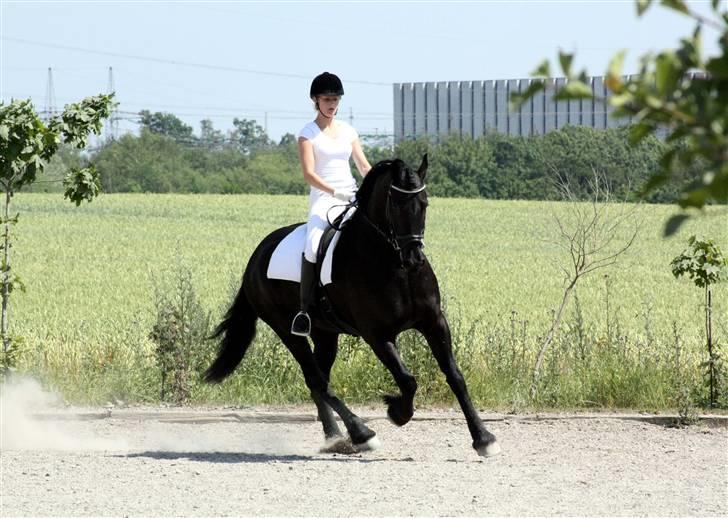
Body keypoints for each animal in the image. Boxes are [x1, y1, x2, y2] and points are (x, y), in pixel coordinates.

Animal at [205, 156, 500, 458]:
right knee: (317, 379)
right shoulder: (377, 335)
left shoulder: (434, 323)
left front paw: (483, 438)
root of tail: (257, 254)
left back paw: (336, 438)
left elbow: (455, 376)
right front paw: (397, 412)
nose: (414, 258)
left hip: (325, 333)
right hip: (286, 330)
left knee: (318, 381)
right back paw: (361, 434)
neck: (393, 265)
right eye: (396, 204)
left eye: (424, 204)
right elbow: (407, 380)